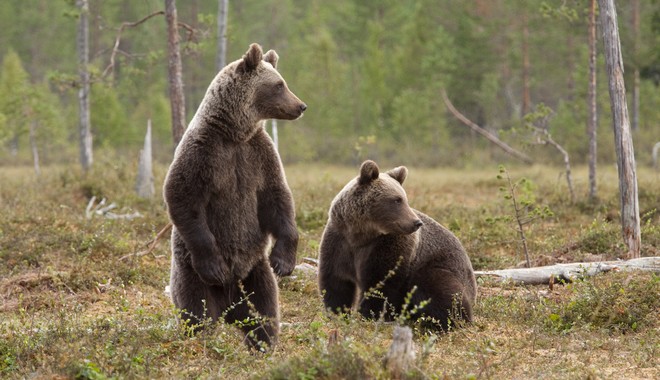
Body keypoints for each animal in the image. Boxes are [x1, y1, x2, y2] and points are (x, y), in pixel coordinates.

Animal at [165, 42, 310, 350]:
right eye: (279, 85)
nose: (301, 106)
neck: (234, 133)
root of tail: (229, 307)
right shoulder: (203, 152)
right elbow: (183, 196)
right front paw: (215, 265)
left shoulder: (259, 154)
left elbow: (277, 198)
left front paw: (284, 261)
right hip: (190, 273)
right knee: (197, 313)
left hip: (255, 274)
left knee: (265, 313)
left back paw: (264, 345)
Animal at [318, 160, 474, 330]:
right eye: (397, 200)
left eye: (404, 199)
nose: (416, 222)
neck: (361, 234)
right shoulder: (340, 241)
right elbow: (336, 282)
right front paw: (338, 313)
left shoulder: (388, 246)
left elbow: (381, 283)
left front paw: (369, 315)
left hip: (440, 266)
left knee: (438, 288)